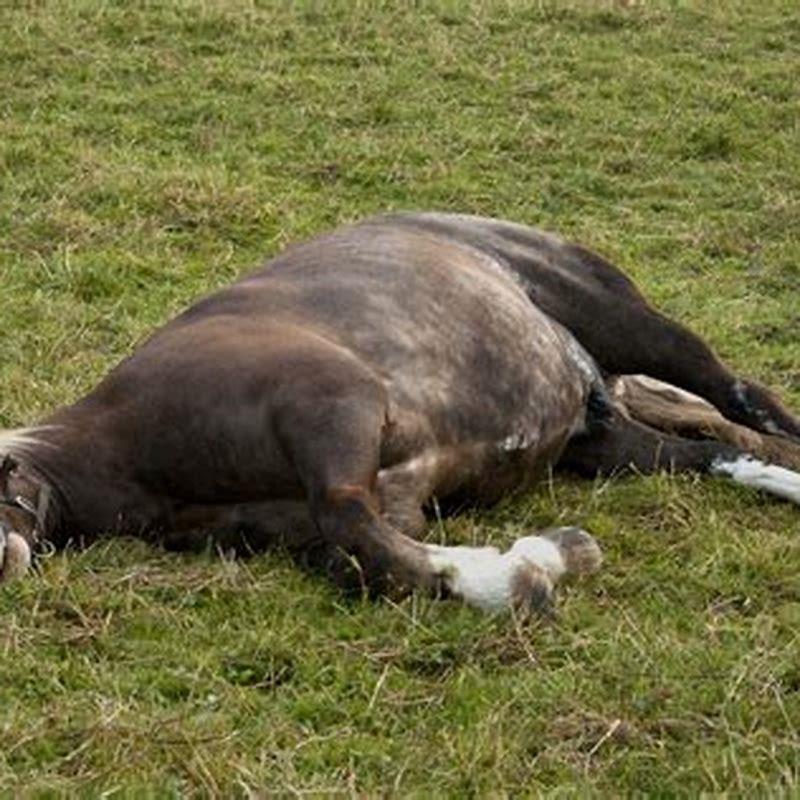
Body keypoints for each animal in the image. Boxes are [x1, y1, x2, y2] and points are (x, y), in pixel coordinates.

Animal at [1, 212, 798, 613]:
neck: (126, 443)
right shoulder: (390, 500)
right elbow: (367, 562)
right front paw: (537, 560)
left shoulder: (335, 406)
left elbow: (351, 522)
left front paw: (532, 568)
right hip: (607, 442)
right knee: (720, 450)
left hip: (630, 324)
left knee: (749, 400)